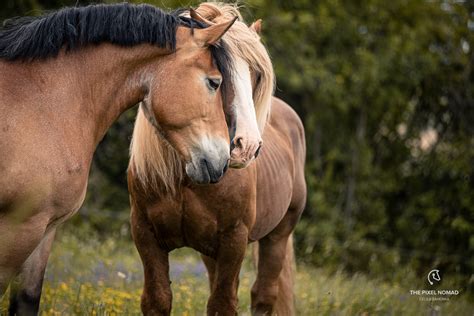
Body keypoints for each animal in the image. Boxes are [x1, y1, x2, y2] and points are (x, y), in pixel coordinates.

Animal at [0, 3, 243, 314]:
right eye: (214, 83)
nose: (223, 161)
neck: (41, 104)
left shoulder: (44, 227)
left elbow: (27, 300)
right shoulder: (19, 226)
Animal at [129, 3, 308, 316]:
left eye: (257, 75)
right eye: (219, 75)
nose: (247, 146)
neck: (185, 177)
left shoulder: (233, 240)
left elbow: (222, 304)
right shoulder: (146, 235)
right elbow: (158, 300)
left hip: (278, 235)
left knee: (263, 296)